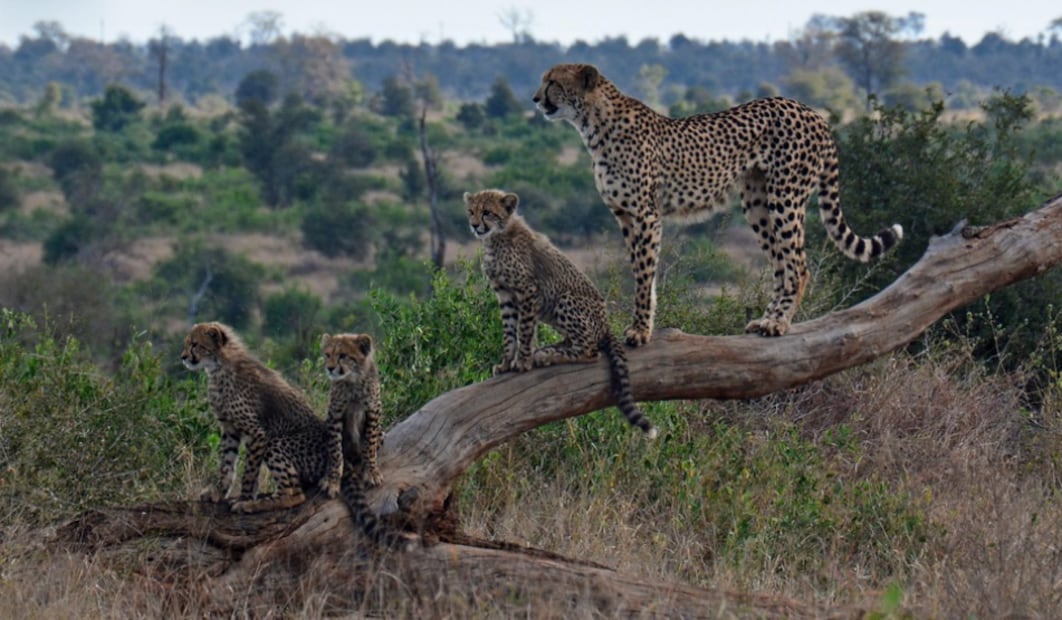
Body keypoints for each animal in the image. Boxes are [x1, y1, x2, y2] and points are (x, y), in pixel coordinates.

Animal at [180, 321, 338, 514]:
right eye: (188, 343)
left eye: (195, 344)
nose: (183, 357)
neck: (218, 367)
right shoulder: (230, 429)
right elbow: (227, 464)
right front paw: (218, 492)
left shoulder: (257, 433)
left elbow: (249, 471)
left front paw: (244, 498)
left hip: (276, 442)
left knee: (293, 493)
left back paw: (254, 505)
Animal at [322, 332, 415, 550]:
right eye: (328, 354)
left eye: (342, 356)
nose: (329, 368)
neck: (353, 380)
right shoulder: (334, 417)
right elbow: (335, 452)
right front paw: (332, 479)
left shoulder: (373, 414)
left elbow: (369, 447)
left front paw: (371, 471)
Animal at [465, 188, 657, 438]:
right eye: (471, 211)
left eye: (487, 212)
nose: (474, 225)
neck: (497, 237)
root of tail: (606, 325)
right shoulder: (505, 295)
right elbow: (510, 333)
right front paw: (506, 362)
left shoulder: (527, 290)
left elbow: (524, 330)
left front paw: (523, 362)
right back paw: (549, 350)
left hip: (565, 300)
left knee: (590, 351)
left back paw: (547, 356)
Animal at [533, 63, 904, 342]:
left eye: (553, 82)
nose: (536, 99)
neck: (593, 123)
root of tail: (811, 111)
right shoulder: (625, 216)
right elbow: (642, 273)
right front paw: (642, 324)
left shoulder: (645, 216)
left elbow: (643, 275)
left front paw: (640, 331)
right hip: (757, 203)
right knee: (781, 265)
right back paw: (765, 320)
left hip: (785, 197)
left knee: (798, 265)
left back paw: (779, 323)